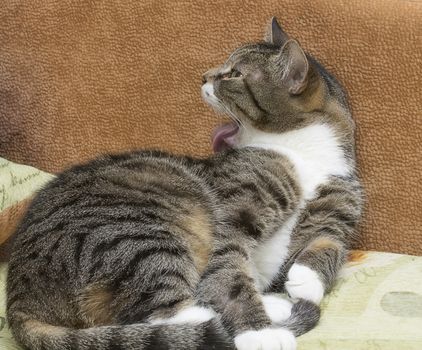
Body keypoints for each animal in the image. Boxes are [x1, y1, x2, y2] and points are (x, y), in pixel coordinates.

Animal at [5, 17, 362, 350]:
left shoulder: (337, 209)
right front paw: (259, 333)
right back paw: (262, 313)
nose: (204, 76)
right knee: (164, 314)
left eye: (234, 74)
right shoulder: (232, 220)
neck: (301, 151)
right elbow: (230, 274)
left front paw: (306, 279)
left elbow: (329, 244)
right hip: (137, 237)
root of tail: (19, 296)